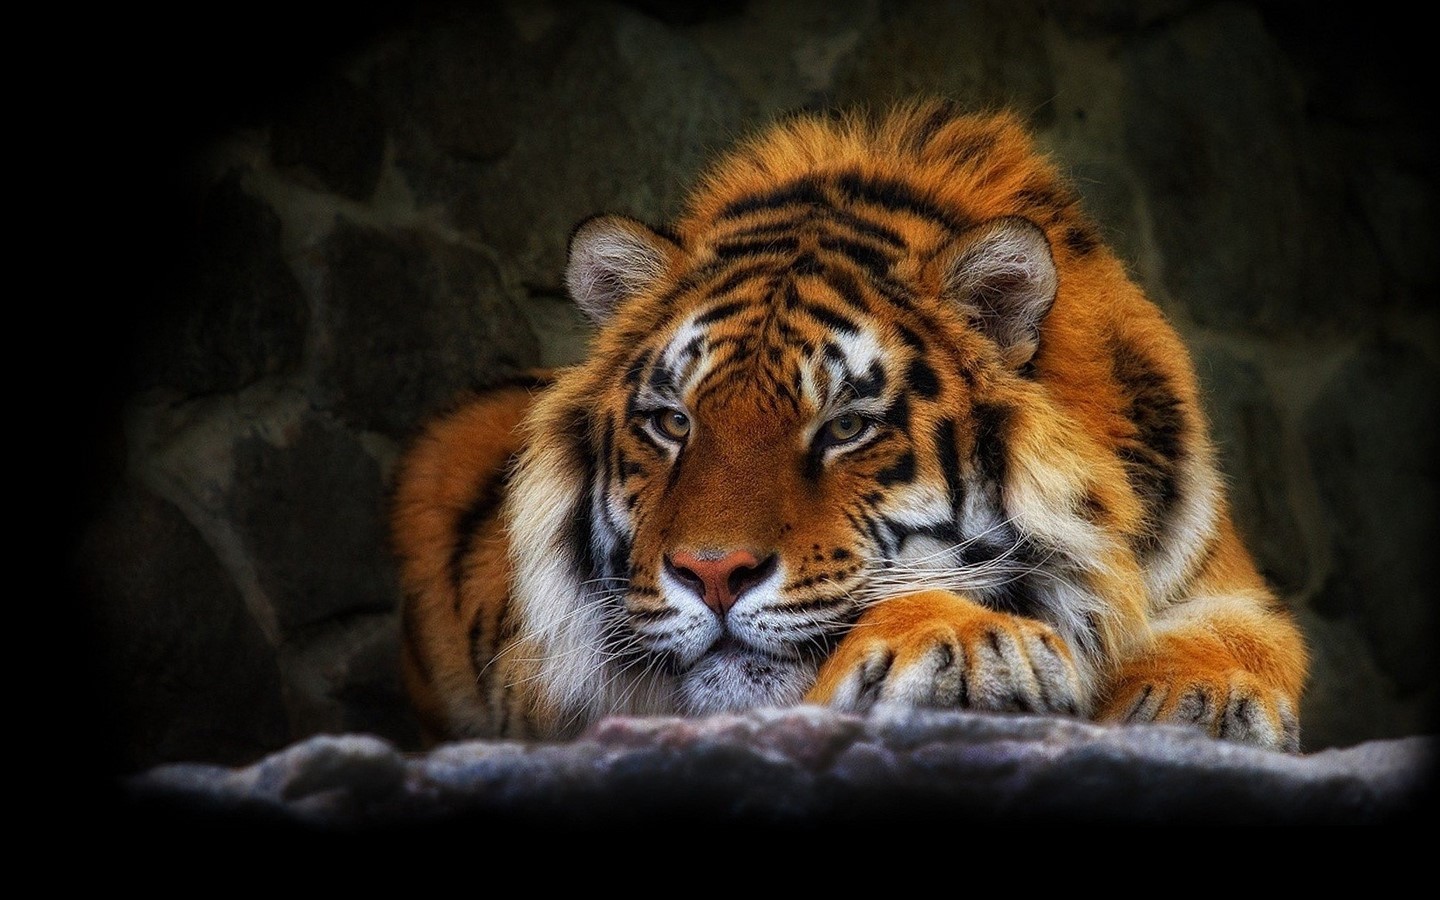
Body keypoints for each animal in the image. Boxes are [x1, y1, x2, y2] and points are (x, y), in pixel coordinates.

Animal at [391, 100, 1309, 752]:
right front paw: (967, 642)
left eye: (845, 428)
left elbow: (1246, 636)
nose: (711, 574)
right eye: (673, 422)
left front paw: (1198, 697)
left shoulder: (1218, 576)